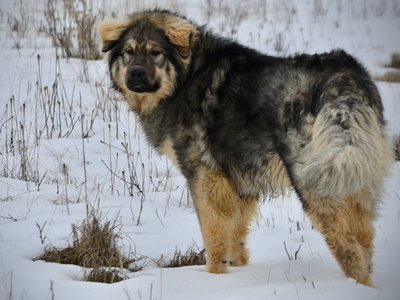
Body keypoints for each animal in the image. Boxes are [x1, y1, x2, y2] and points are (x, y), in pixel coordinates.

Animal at [98, 9, 392, 286]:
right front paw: (237, 269)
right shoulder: (239, 181)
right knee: (363, 238)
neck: (187, 76)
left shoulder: (205, 177)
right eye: (129, 52)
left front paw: (212, 276)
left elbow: (213, 234)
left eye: (155, 53)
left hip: (315, 180)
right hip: (353, 174)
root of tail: (342, 76)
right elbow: (235, 232)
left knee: (349, 248)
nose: (135, 73)